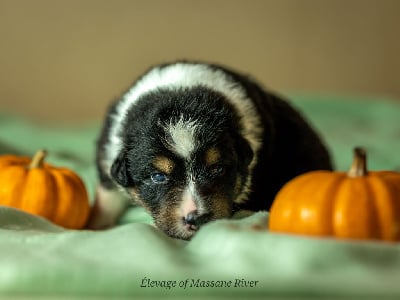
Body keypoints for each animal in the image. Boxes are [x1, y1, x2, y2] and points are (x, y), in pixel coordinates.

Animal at [89, 61, 332, 239]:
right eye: (157, 176)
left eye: (218, 169)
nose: (196, 219)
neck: (181, 90)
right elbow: (107, 197)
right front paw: (95, 226)